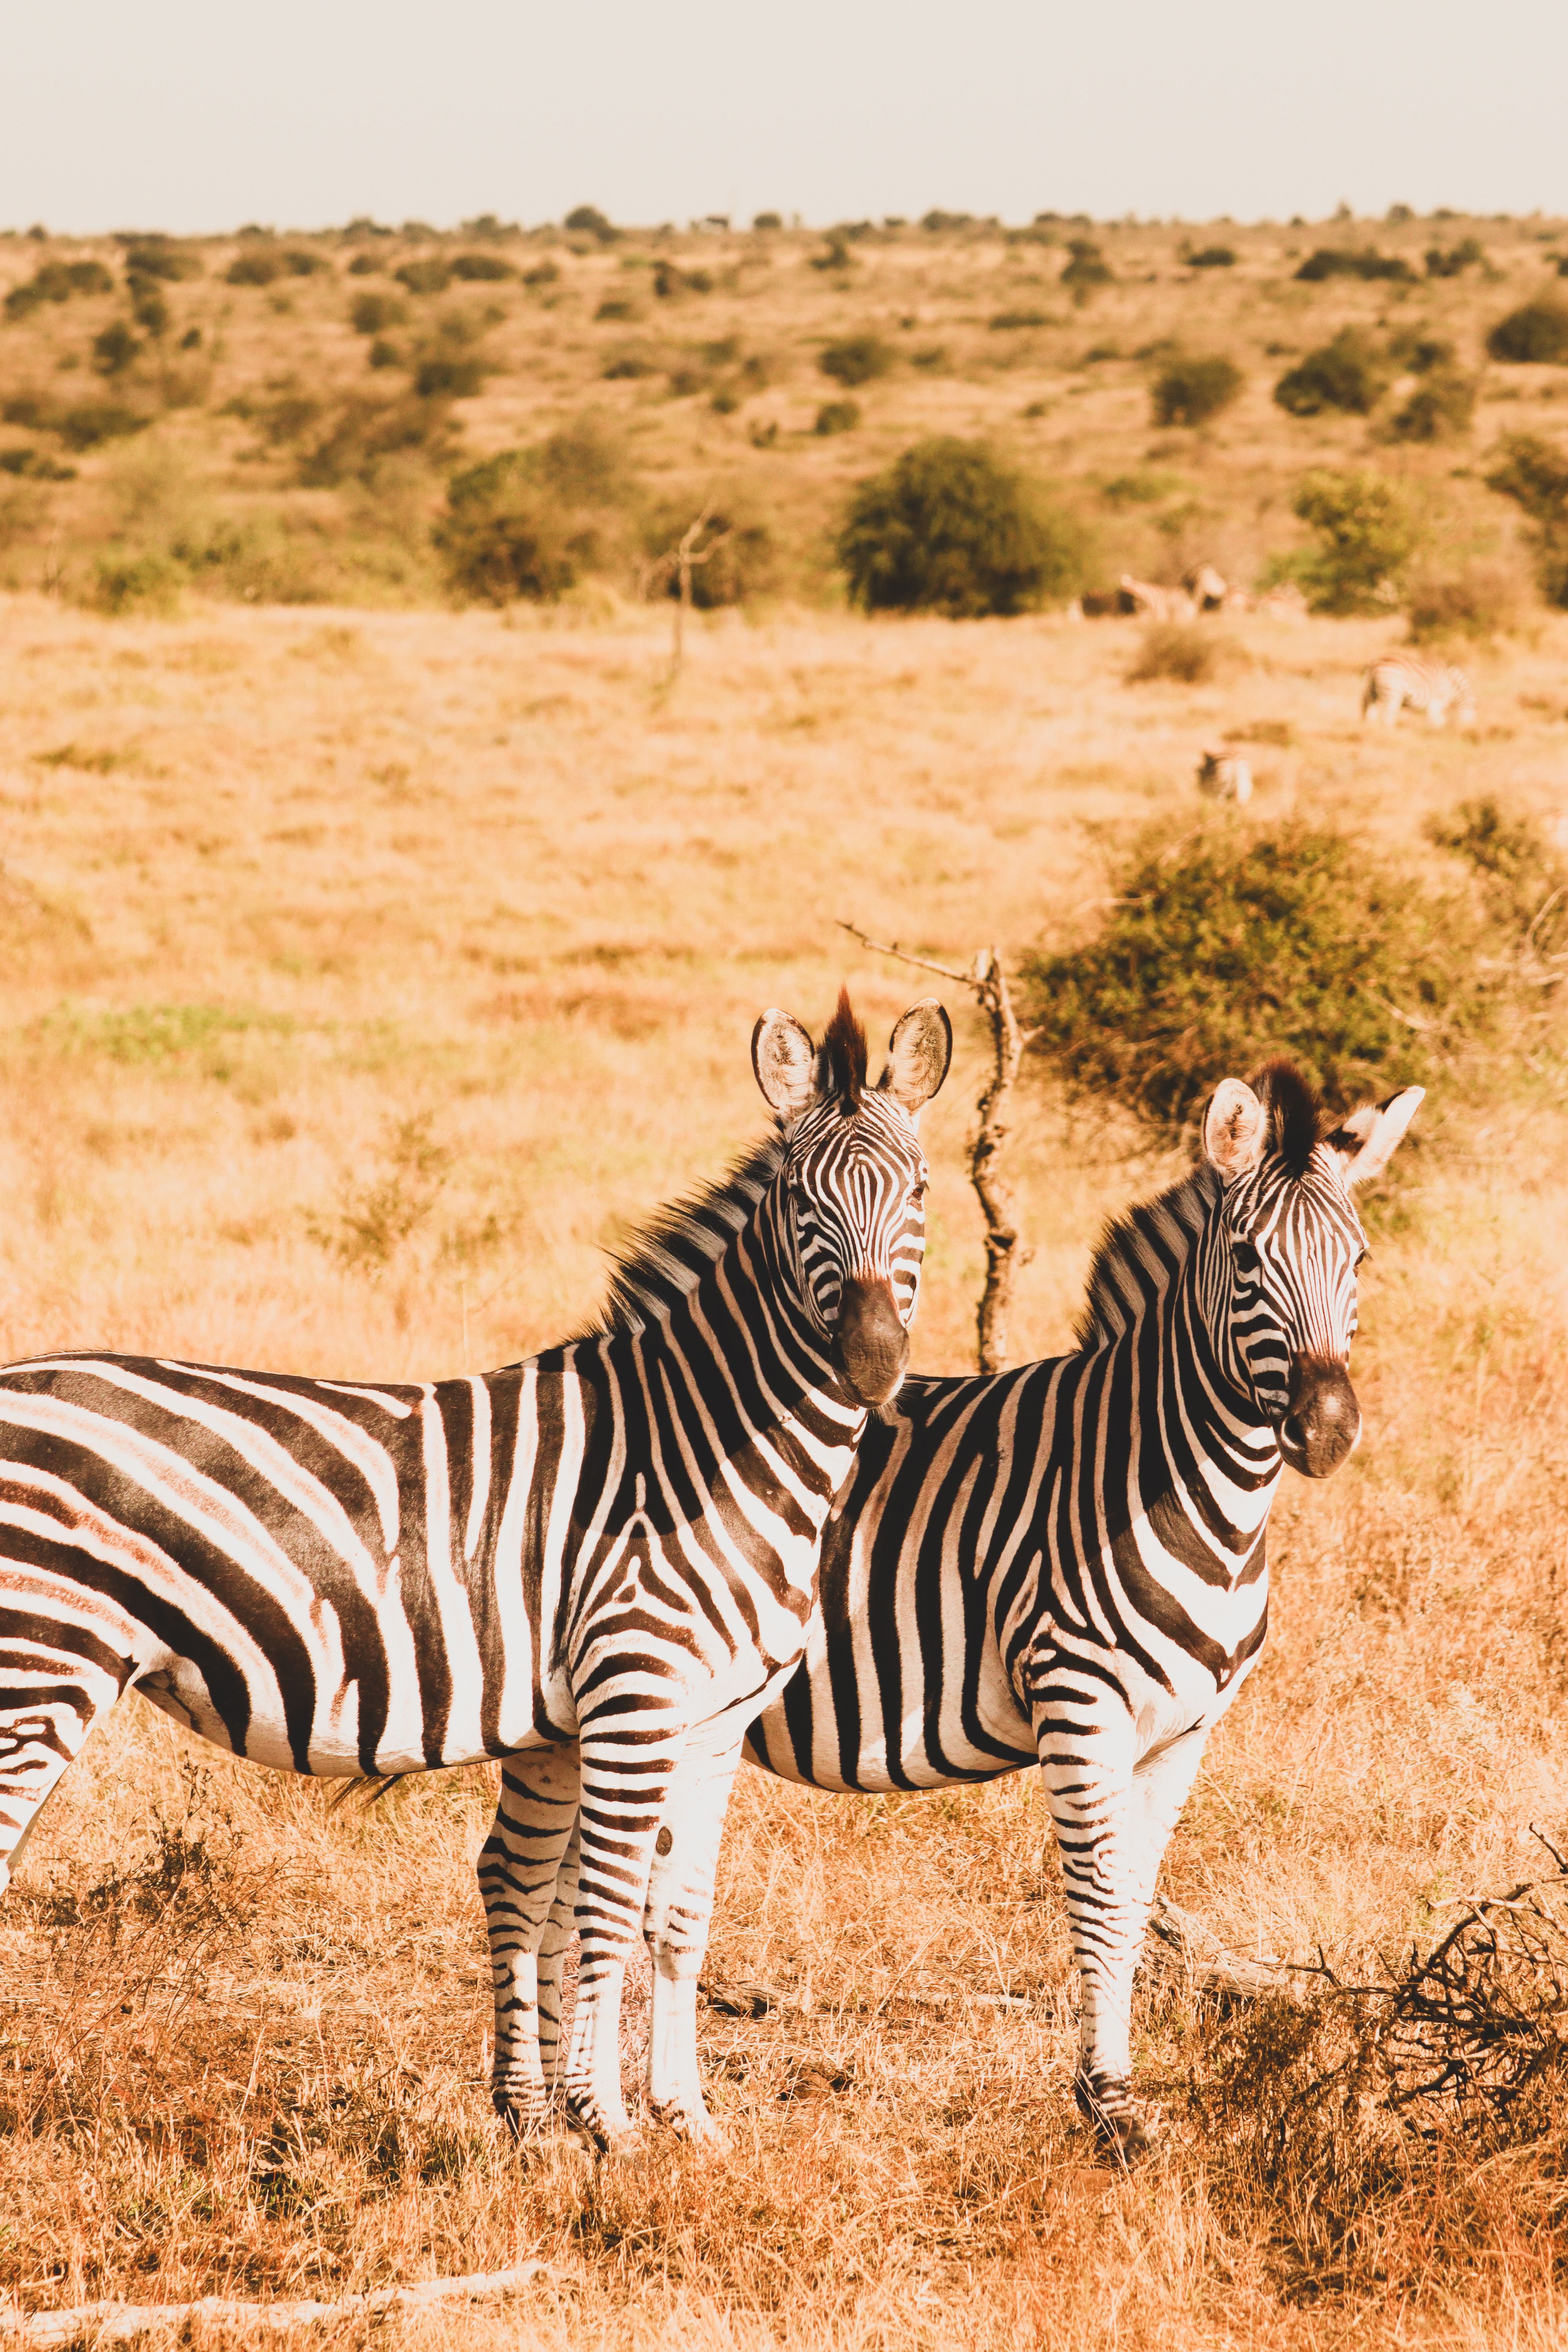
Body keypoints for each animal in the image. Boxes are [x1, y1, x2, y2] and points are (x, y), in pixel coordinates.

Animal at [0, 990, 951, 2152]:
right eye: (797, 1199)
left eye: (919, 1189)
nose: (869, 1366)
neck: (702, 1442)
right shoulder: (632, 1697)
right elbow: (606, 1909)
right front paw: (607, 2124)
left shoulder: (713, 1721)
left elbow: (679, 1917)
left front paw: (687, 2121)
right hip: (39, 1664)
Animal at [537, 1059, 1420, 2155]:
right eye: (1250, 1260)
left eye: (1361, 1258)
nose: (1326, 1429)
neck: (1169, 1475)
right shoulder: (1079, 1702)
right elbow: (1098, 1906)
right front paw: (1108, 2106)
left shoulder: (1186, 1731)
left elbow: (1135, 1905)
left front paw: (1116, 2090)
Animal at [1361, 656, 1475, 729]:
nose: (1465, 732)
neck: (1454, 684)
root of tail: (1376, 663)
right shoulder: (1439, 699)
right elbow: (1437, 719)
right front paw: (1435, 733)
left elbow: (1437, 719)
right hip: (1394, 693)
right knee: (1387, 716)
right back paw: (1390, 733)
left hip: (1373, 692)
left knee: (1371, 712)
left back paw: (1371, 729)